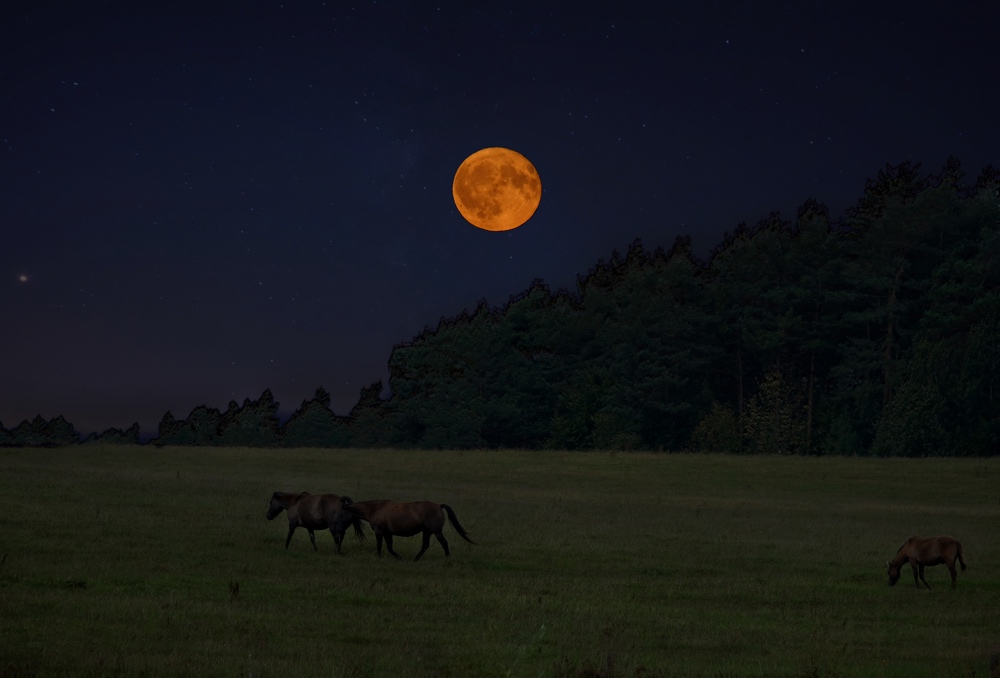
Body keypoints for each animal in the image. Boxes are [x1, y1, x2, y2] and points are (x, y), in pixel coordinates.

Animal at [336, 500, 476, 564]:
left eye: (341, 515)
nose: (338, 530)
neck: (374, 509)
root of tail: (438, 505)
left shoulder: (379, 531)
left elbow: (380, 545)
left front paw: (379, 557)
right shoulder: (388, 533)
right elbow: (390, 547)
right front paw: (399, 558)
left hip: (435, 531)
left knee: (444, 543)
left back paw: (447, 557)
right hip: (427, 531)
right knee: (425, 545)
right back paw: (415, 559)